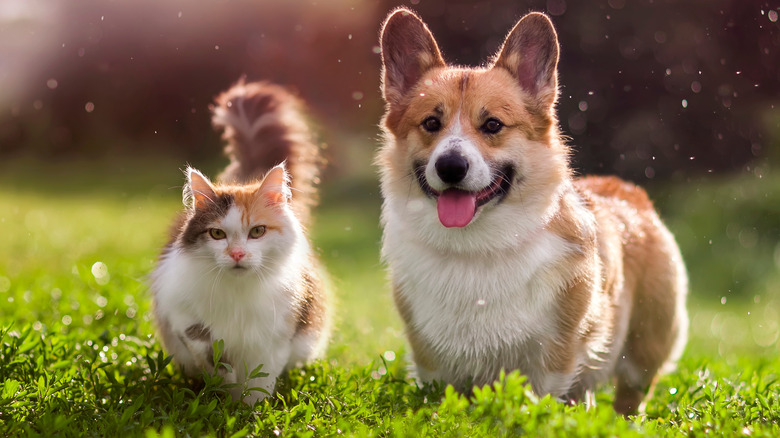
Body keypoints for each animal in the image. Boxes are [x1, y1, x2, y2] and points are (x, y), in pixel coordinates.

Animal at [152, 80, 330, 406]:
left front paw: (249, 410)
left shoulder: (276, 335)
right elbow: (206, 346)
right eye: (217, 234)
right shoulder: (178, 311)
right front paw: (225, 388)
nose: (236, 253)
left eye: (257, 232)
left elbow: (260, 380)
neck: (238, 294)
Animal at [378, 8, 688, 416]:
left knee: (630, 396)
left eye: (492, 124)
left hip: (644, 349)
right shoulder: (431, 361)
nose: (450, 166)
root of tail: (627, 190)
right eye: (431, 123)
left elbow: (541, 396)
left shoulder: (554, 357)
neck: (476, 248)